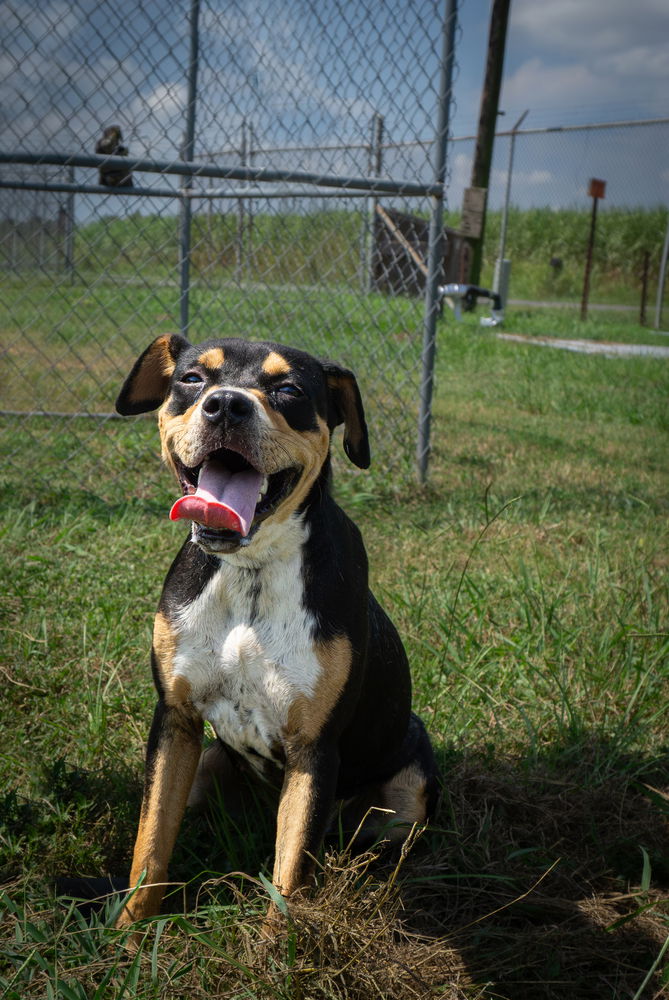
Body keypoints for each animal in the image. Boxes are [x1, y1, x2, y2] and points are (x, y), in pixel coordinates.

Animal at [113, 336, 438, 936]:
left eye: (288, 389)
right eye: (192, 378)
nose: (226, 405)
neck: (252, 569)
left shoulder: (314, 748)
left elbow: (290, 877)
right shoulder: (175, 720)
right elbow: (150, 845)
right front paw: (126, 939)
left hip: (409, 796)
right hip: (205, 766)